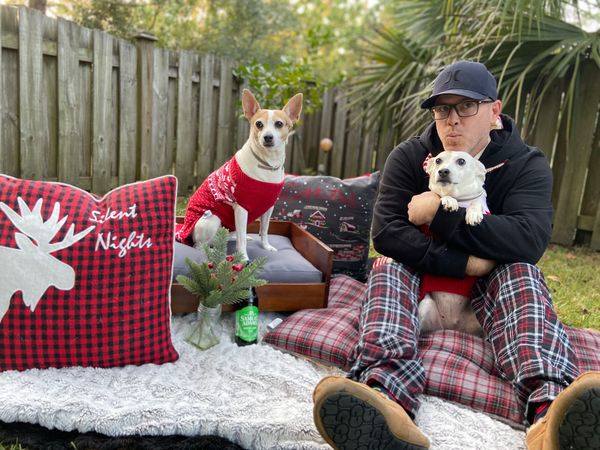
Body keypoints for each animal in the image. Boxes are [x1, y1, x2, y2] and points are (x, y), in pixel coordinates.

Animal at [176, 89, 303, 261]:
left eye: (279, 124)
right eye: (259, 124)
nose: (267, 137)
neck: (266, 164)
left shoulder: (268, 207)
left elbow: (264, 230)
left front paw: (266, 246)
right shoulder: (241, 209)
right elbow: (241, 238)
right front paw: (243, 258)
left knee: (229, 236)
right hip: (212, 218)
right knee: (199, 245)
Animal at [418, 151, 489, 336]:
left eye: (462, 161)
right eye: (437, 160)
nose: (443, 171)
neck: (461, 198)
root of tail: (453, 327)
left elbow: (477, 202)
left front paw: (473, 213)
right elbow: (442, 196)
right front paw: (449, 201)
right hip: (426, 307)